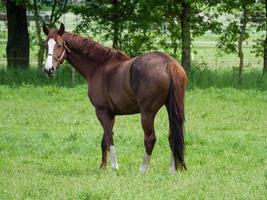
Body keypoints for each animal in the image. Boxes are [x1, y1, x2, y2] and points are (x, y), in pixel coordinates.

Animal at [43, 23, 187, 173]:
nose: (48, 69)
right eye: (45, 45)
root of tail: (168, 63)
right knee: (173, 136)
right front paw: (103, 166)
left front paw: (114, 166)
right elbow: (104, 140)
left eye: (60, 45)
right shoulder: (110, 114)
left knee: (150, 139)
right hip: (171, 108)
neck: (98, 67)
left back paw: (142, 170)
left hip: (147, 113)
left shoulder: (101, 111)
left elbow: (108, 137)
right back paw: (173, 170)